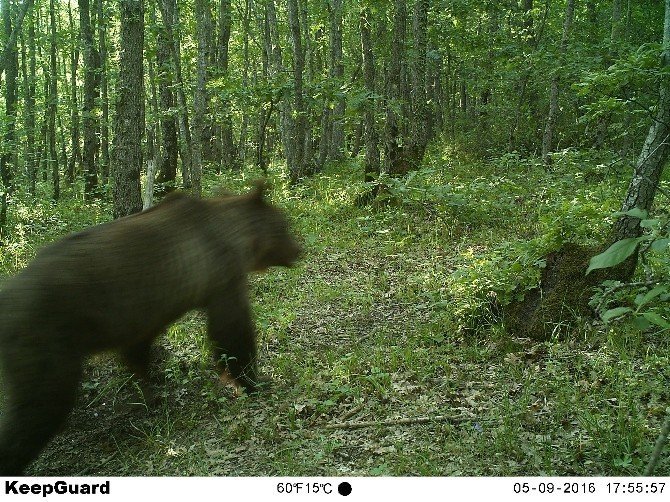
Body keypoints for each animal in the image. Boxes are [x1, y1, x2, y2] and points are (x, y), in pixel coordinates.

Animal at [0, 180, 302, 474]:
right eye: (285, 224)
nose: (299, 250)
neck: (236, 238)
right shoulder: (220, 277)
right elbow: (231, 331)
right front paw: (255, 379)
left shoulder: (144, 313)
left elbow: (139, 349)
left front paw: (150, 390)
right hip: (45, 337)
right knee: (40, 405)